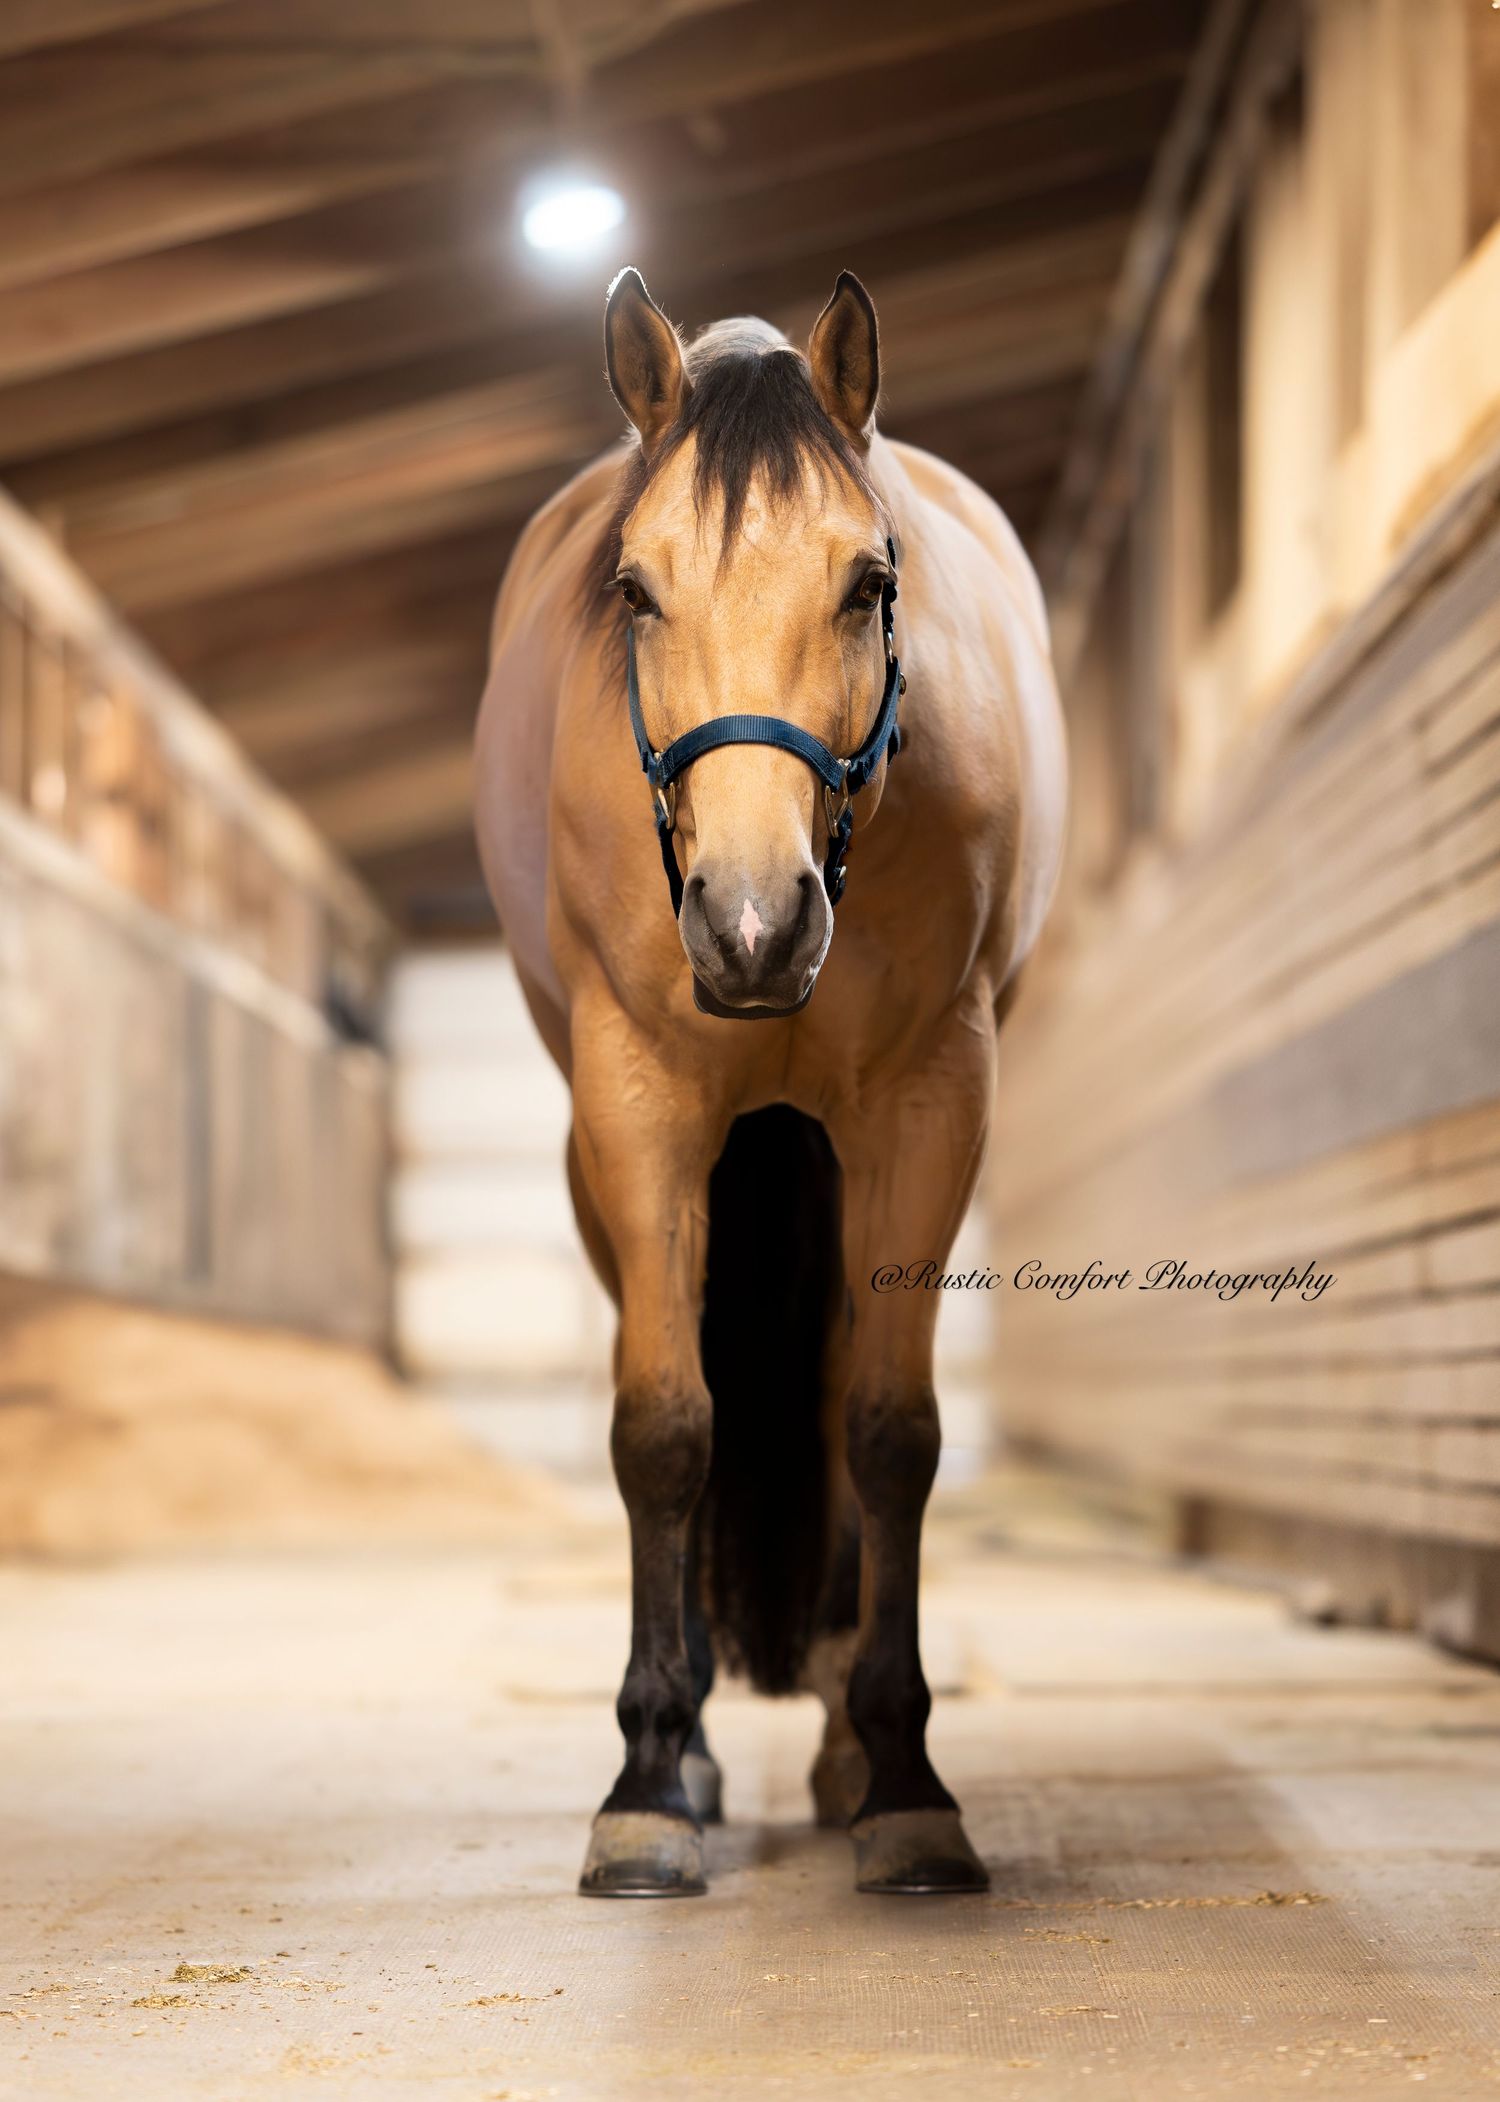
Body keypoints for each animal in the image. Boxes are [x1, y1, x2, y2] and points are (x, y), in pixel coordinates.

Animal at [474, 267, 1067, 1898]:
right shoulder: (637, 1107)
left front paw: (907, 1778)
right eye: (635, 589)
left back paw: (849, 1752)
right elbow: (666, 1426)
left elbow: (891, 1431)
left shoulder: (932, 1103)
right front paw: (649, 1777)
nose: (750, 924)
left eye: (869, 583)